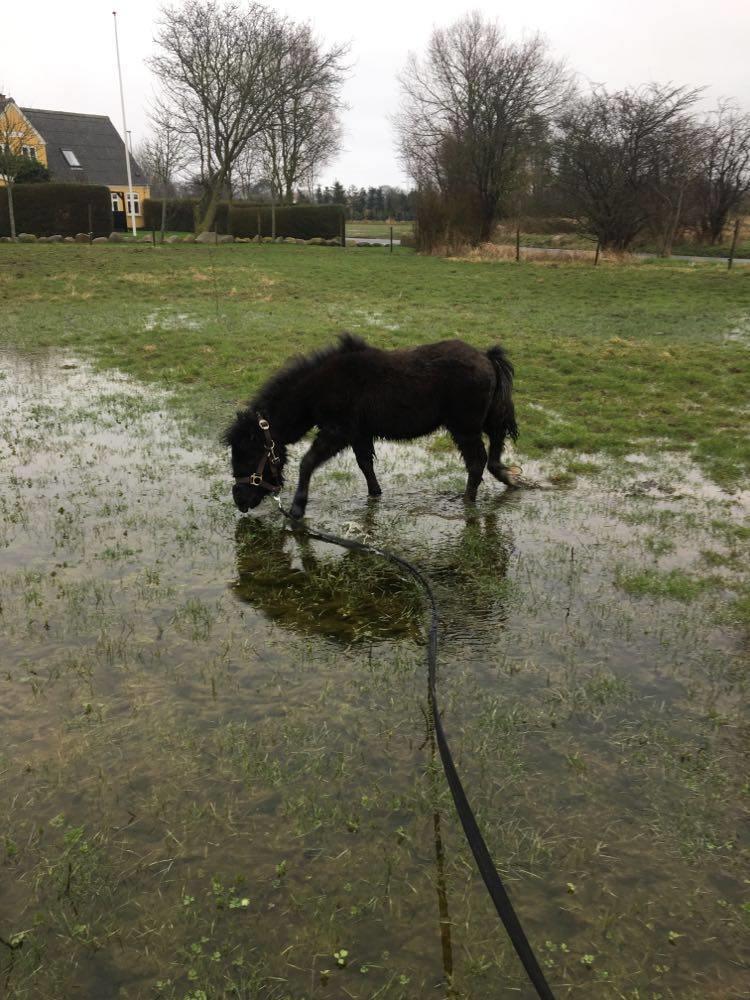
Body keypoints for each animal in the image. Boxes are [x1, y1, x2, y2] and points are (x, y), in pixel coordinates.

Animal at [226, 336, 520, 520]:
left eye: (248, 453)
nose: (239, 500)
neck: (317, 389)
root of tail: (486, 357)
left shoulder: (338, 432)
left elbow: (307, 463)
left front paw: (297, 510)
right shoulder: (359, 434)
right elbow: (365, 464)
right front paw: (375, 496)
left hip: (464, 428)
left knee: (477, 461)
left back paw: (467, 501)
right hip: (484, 421)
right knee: (494, 448)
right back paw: (507, 478)